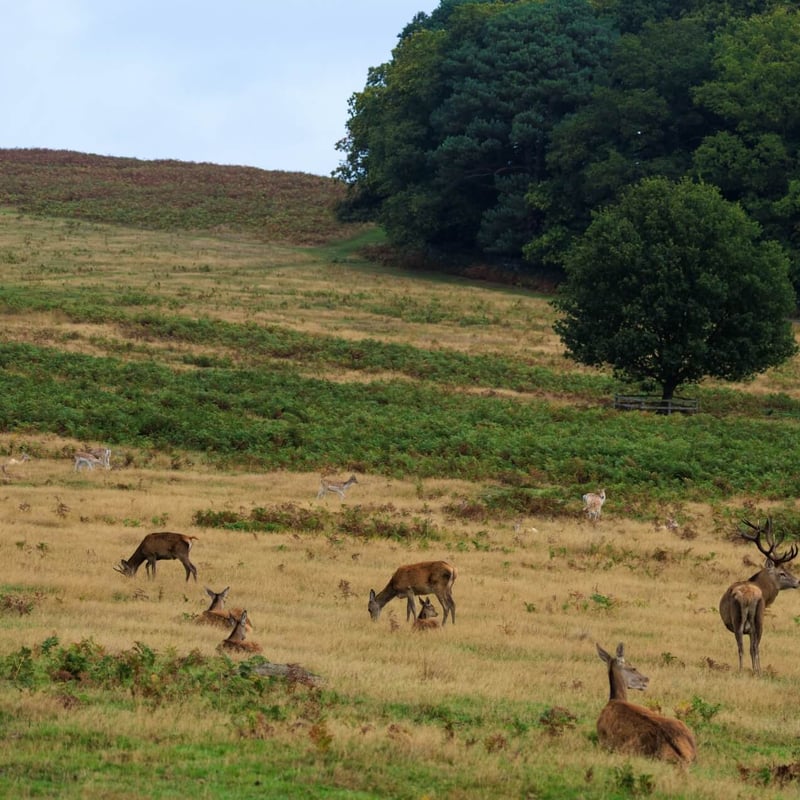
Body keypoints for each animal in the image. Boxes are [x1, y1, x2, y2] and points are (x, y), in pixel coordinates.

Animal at [719, 517, 799, 675]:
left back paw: (745, 669)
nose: (798, 581)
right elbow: (754, 647)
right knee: (754, 646)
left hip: (741, 620)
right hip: (757, 618)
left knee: (744, 646)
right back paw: (756, 671)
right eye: (782, 573)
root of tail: (749, 596)